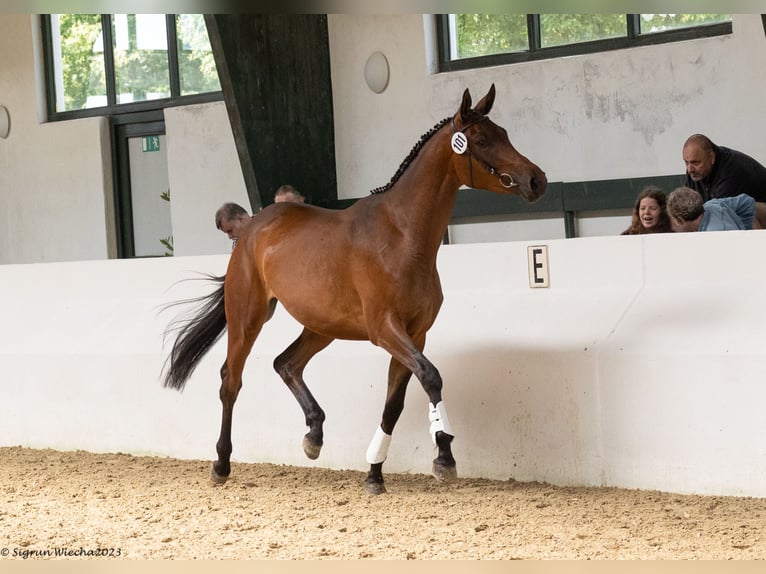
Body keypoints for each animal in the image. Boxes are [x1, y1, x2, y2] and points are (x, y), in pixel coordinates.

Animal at [164, 84, 544, 496]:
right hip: (247, 318)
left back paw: (314, 436)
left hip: (322, 326)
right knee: (230, 381)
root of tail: (250, 226)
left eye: (504, 133)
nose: (537, 180)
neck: (403, 236)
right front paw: (444, 455)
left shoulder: (415, 334)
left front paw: (374, 473)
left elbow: (394, 404)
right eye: (483, 140)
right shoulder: (385, 329)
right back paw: (221, 463)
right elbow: (431, 377)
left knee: (286, 363)